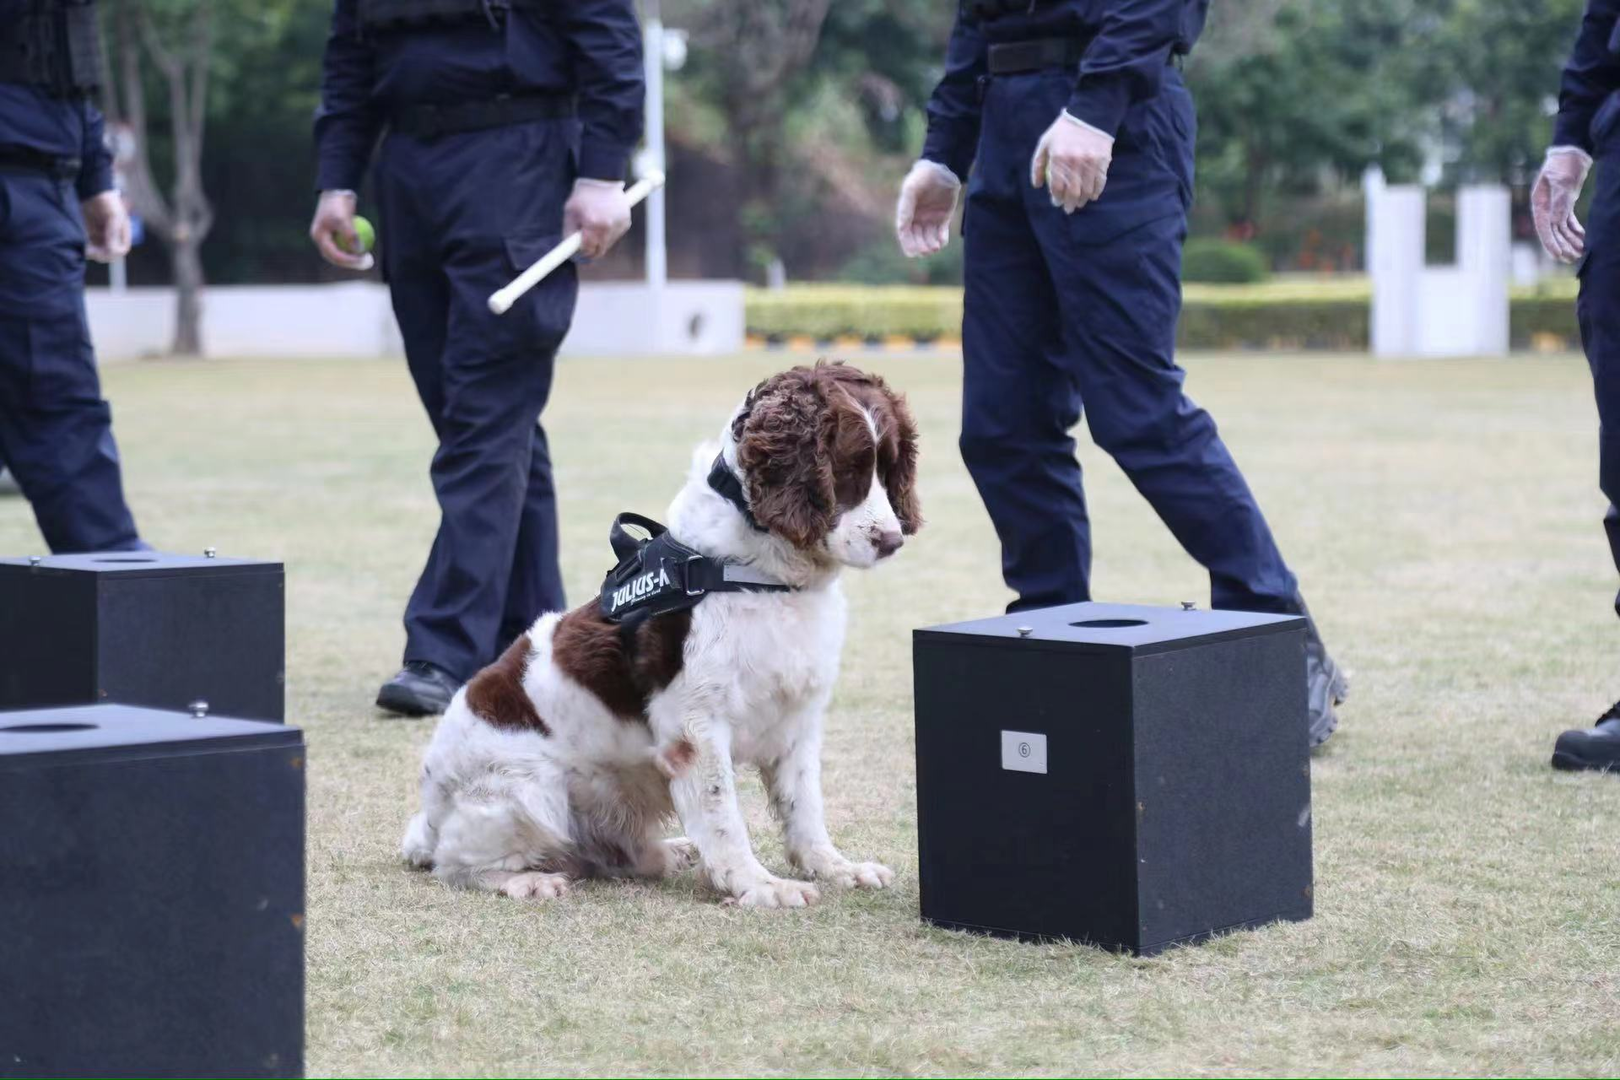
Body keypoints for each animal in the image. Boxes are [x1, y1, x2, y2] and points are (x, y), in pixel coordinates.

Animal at [400, 361, 920, 906]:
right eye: (848, 468)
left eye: (888, 467)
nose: (891, 540)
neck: (756, 572)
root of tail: (428, 820)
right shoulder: (697, 729)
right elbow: (724, 818)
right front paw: (760, 885)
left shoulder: (796, 720)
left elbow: (805, 810)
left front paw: (835, 868)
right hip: (528, 790)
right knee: (456, 864)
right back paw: (525, 878)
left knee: (610, 853)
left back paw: (667, 854)